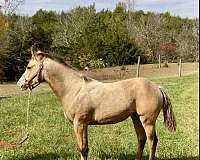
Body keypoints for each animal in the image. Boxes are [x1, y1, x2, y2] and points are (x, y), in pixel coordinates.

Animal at [17, 50, 177, 160]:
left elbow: (82, 148)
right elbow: (86, 148)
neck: (74, 89)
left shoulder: (79, 123)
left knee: (152, 141)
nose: (20, 85)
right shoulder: (84, 124)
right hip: (136, 118)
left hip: (147, 121)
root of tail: (157, 87)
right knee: (141, 139)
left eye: (28, 67)